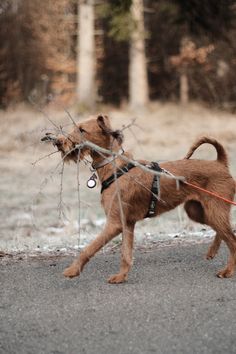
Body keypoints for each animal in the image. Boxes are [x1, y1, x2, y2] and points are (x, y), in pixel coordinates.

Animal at [45, 115, 235, 284]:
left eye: (82, 130)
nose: (58, 142)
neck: (115, 168)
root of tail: (220, 163)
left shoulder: (114, 224)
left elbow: (89, 248)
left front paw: (72, 270)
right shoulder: (127, 223)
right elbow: (126, 253)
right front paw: (121, 277)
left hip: (214, 210)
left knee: (232, 240)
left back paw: (228, 271)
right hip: (198, 212)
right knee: (223, 232)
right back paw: (212, 252)